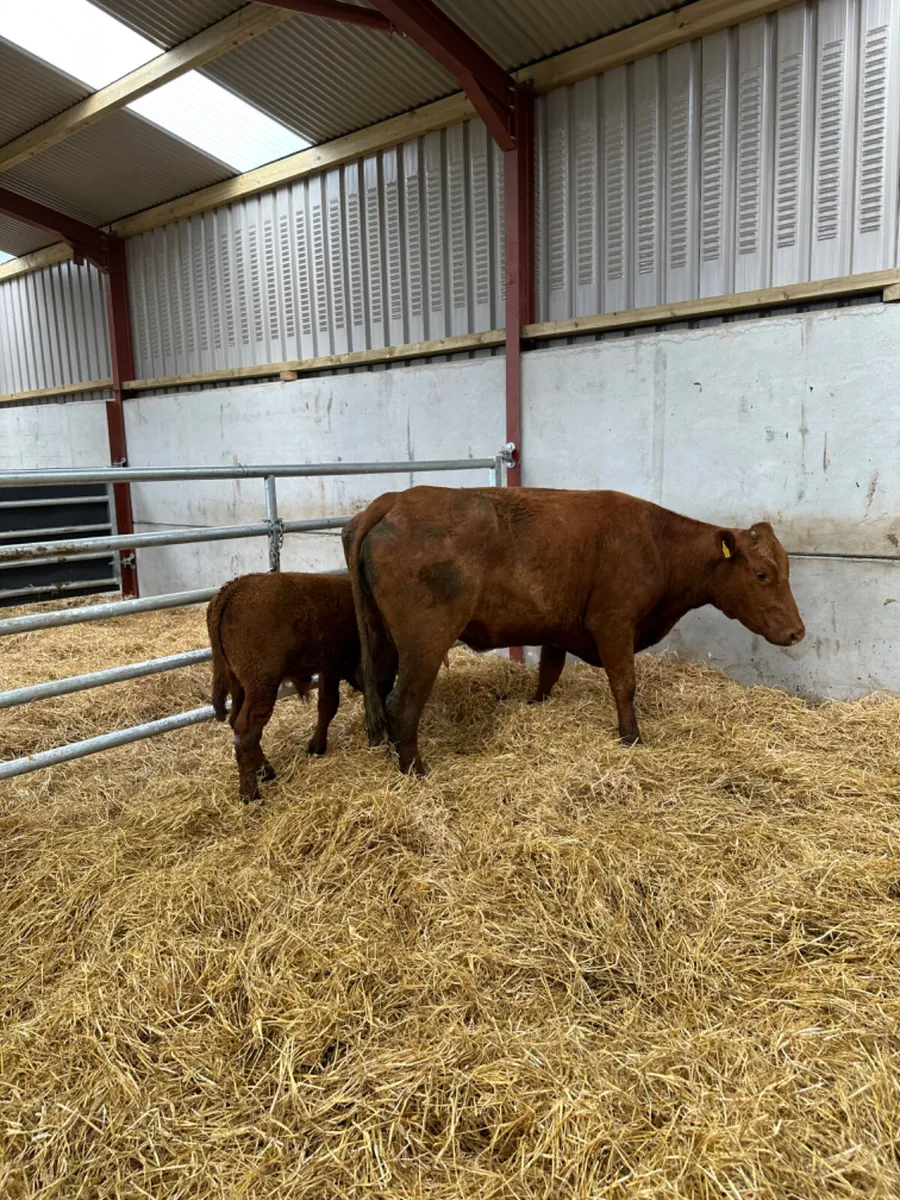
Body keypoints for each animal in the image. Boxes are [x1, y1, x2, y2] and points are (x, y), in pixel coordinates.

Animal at [207, 572, 362, 802]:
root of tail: (234, 587)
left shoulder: (329, 669)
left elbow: (326, 705)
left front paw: (316, 747)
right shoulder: (336, 667)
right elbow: (331, 704)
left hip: (240, 686)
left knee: (236, 722)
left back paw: (266, 772)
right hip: (262, 686)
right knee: (247, 731)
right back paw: (250, 794)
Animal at [344, 488, 805, 776]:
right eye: (762, 574)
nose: (797, 632)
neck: (656, 542)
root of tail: (393, 501)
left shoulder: (556, 630)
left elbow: (548, 674)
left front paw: (536, 708)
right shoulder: (613, 623)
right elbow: (624, 683)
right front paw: (632, 738)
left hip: (381, 639)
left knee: (378, 690)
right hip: (426, 640)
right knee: (402, 703)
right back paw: (417, 772)